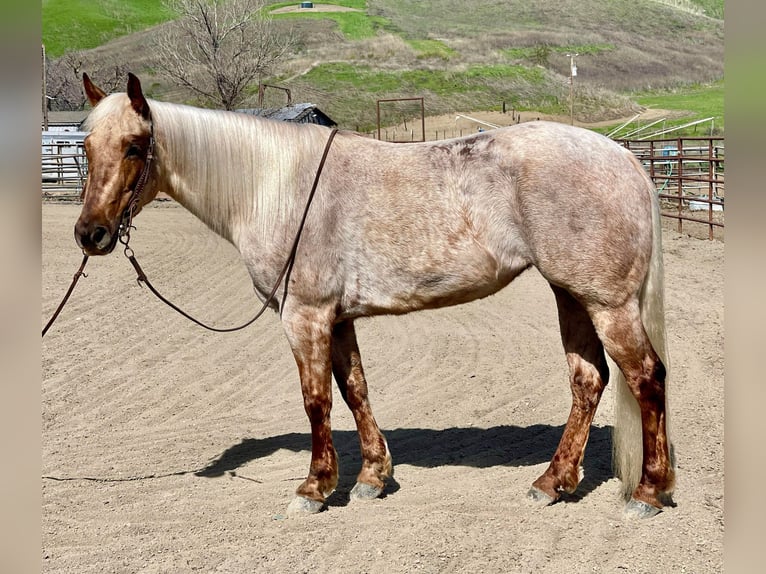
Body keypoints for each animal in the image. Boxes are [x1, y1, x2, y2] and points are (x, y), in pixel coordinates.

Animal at [75, 74, 676, 520]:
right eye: (85, 146)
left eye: (134, 147)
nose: (90, 234)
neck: (276, 187)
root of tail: (624, 158)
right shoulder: (337, 319)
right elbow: (354, 389)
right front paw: (371, 477)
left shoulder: (305, 317)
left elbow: (316, 400)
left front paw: (315, 488)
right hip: (571, 295)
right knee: (588, 381)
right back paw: (553, 482)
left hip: (608, 304)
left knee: (646, 377)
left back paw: (647, 493)